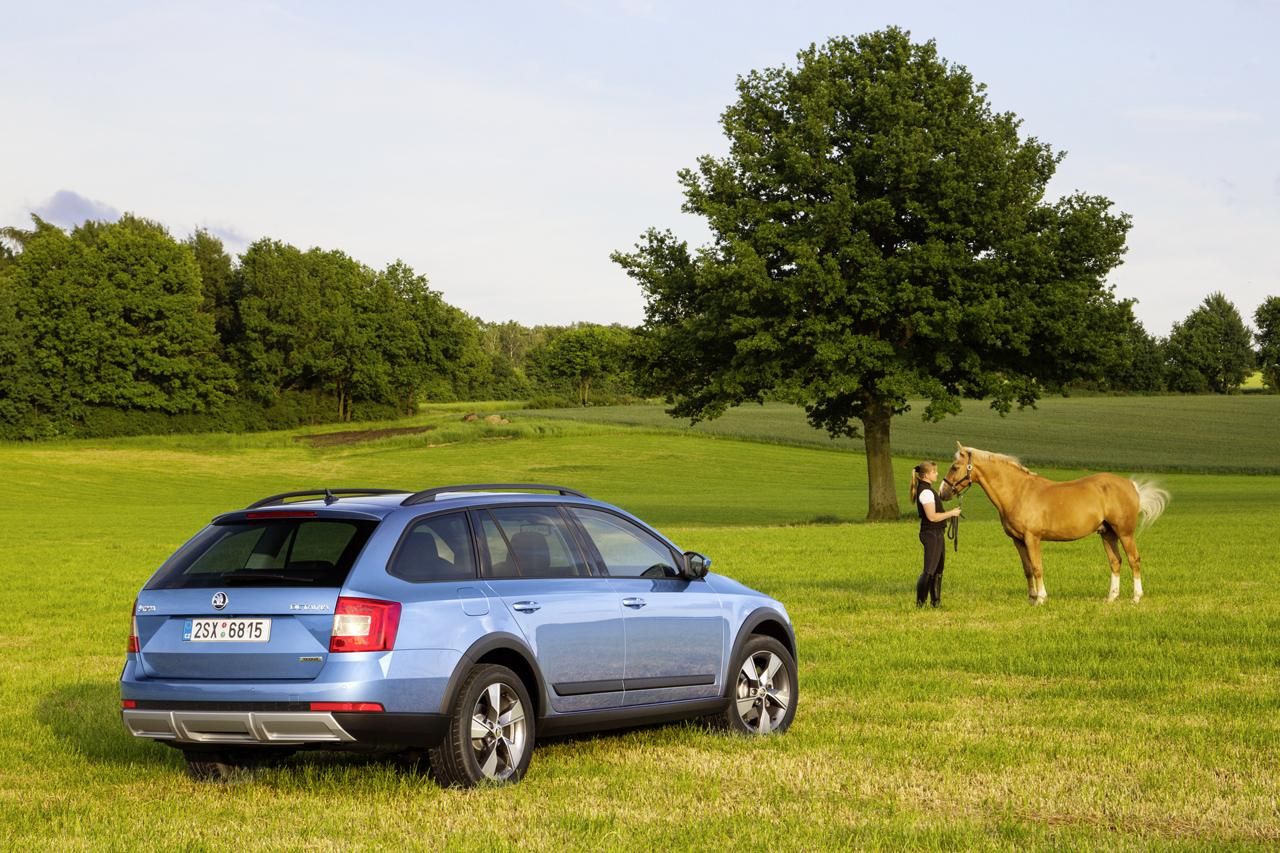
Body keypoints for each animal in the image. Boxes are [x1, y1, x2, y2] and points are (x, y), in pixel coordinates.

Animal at [942, 440, 1172, 601]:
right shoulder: (1018, 540)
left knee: (1134, 560)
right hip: (1107, 533)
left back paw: (1136, 598)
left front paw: (1041, 598)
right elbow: (1027, 569)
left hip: (1125, 533)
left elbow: (1037, 567)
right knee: (1115, 562)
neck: (1019, 492)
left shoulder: (1032, 538)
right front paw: (1031, 598)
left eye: (955, 466)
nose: (943, 492)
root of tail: (1131, 485)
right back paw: (1111, 598)